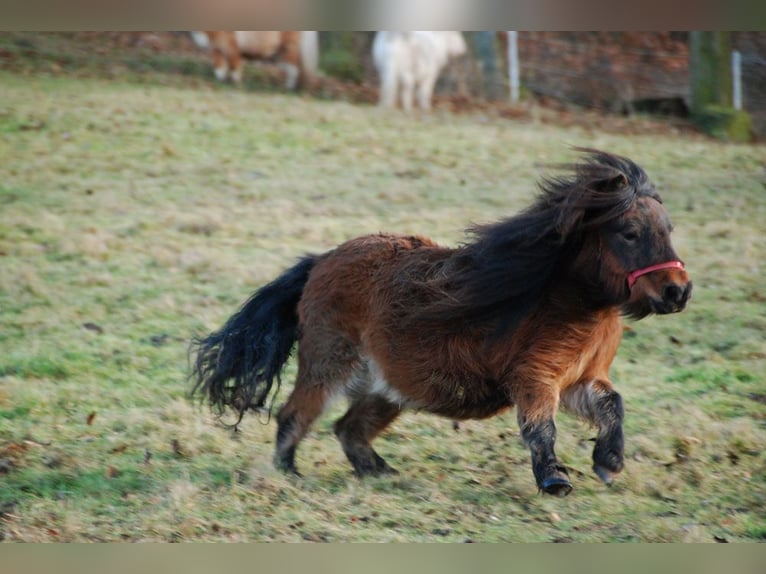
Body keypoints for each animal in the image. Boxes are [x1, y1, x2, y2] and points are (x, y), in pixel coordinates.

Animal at [190, 150, 692, 496]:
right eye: (629, 233)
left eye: (669, 229)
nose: (678, 292)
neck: (567, 302)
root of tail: (320, 262)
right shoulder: (535, 378)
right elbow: (540, 428)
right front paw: (555, 481)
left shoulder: (579, 381)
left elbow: (613, 406)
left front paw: (609, 462)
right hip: (330, 365)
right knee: (295, 415)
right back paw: (289, 474)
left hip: (388, 388)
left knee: (348, 429)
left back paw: (381, 473)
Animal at [191, 31, 319, 90]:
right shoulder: (217, 50)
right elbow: (219, 69)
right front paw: (220, 82)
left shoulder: (232, 49)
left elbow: (234, 69)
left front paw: (237, 85)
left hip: (287, 51)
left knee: (294, 70)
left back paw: (288, 88)